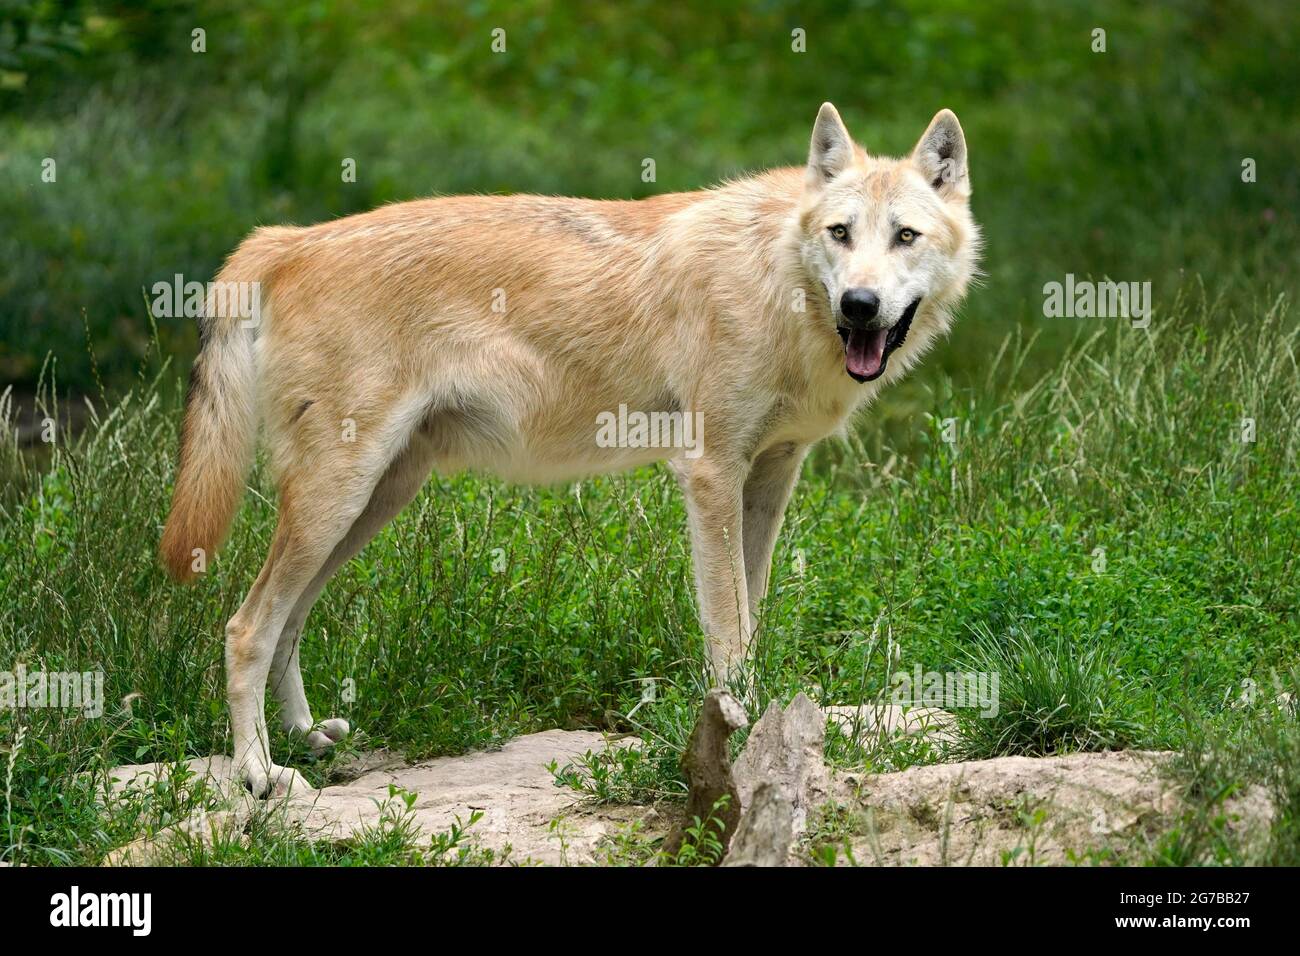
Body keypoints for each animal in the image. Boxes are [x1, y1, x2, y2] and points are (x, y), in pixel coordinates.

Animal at [159, 100, 977, 796]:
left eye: (904, 236)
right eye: (841, 233)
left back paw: (308, 740)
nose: (860, 305)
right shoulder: (711, 474)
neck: (778, 282)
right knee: (245, 628)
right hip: (336, 501)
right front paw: (742, 730)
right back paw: (259, 775)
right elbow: (728, 627)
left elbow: (751, 616)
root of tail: (289, 238)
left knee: (289, 622)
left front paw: (761, 719)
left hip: (370, 503)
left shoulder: (771, 478)